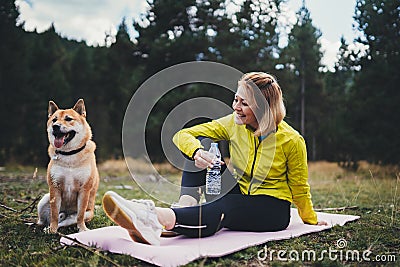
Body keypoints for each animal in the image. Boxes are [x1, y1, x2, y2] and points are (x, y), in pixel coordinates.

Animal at [37, 99, 99, 233]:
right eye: (54, 120)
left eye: (68, 119)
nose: (55, 126)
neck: (69, 155)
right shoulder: (54, 188)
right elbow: (54, 213)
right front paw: (52, 229)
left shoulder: (84, 189)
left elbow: (80, 215)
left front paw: (82, 229)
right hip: (44, 200)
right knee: (46, 219)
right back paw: (46, 227)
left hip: (86, 213)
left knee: (67, 221)